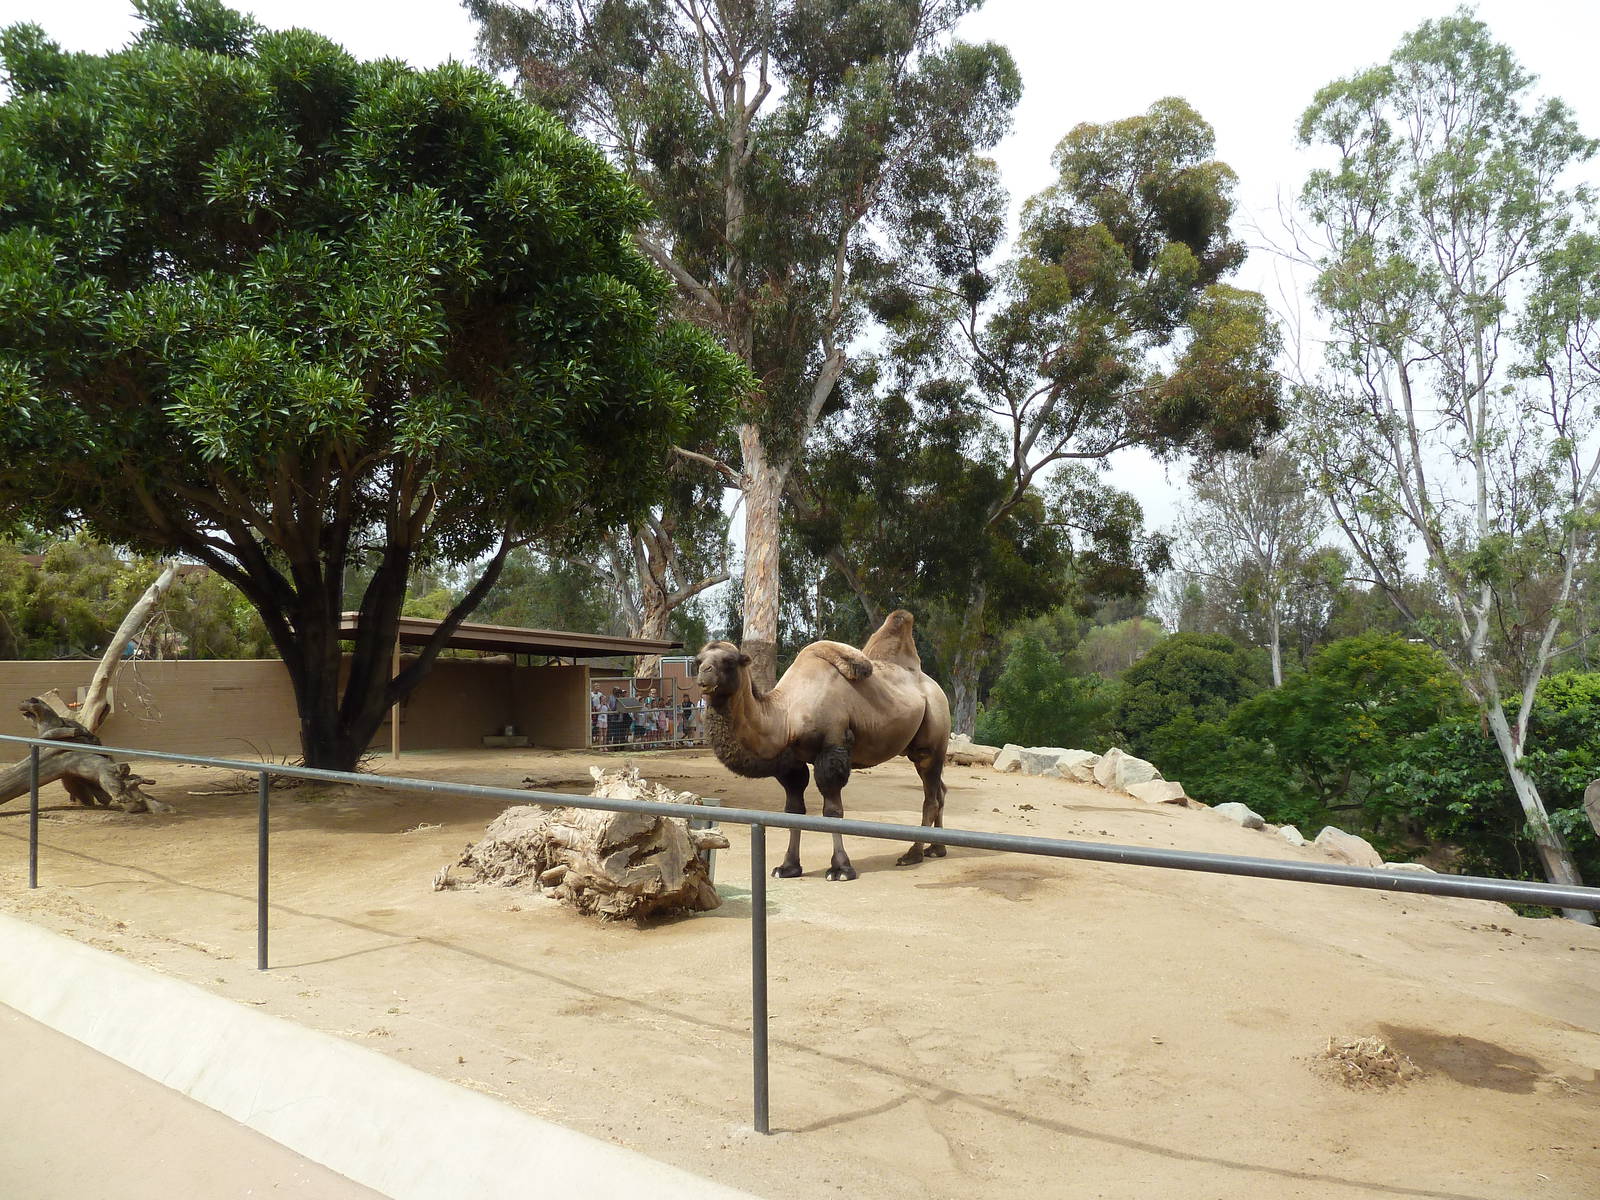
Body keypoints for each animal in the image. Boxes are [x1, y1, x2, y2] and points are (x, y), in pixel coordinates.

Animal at [696, 610, 951, 880]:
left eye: (729, 660)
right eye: (698, 659)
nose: (704, 674)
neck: (787, 716)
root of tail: (936, 689)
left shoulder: (833, 746)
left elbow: (832, 812)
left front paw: (841, 868)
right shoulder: (792, 761)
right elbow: (793, 811)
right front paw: (788, 867)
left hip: (934, 735)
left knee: (930, 797)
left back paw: (913, 854)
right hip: (915, 746)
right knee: (940, 791)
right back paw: (937, 849)